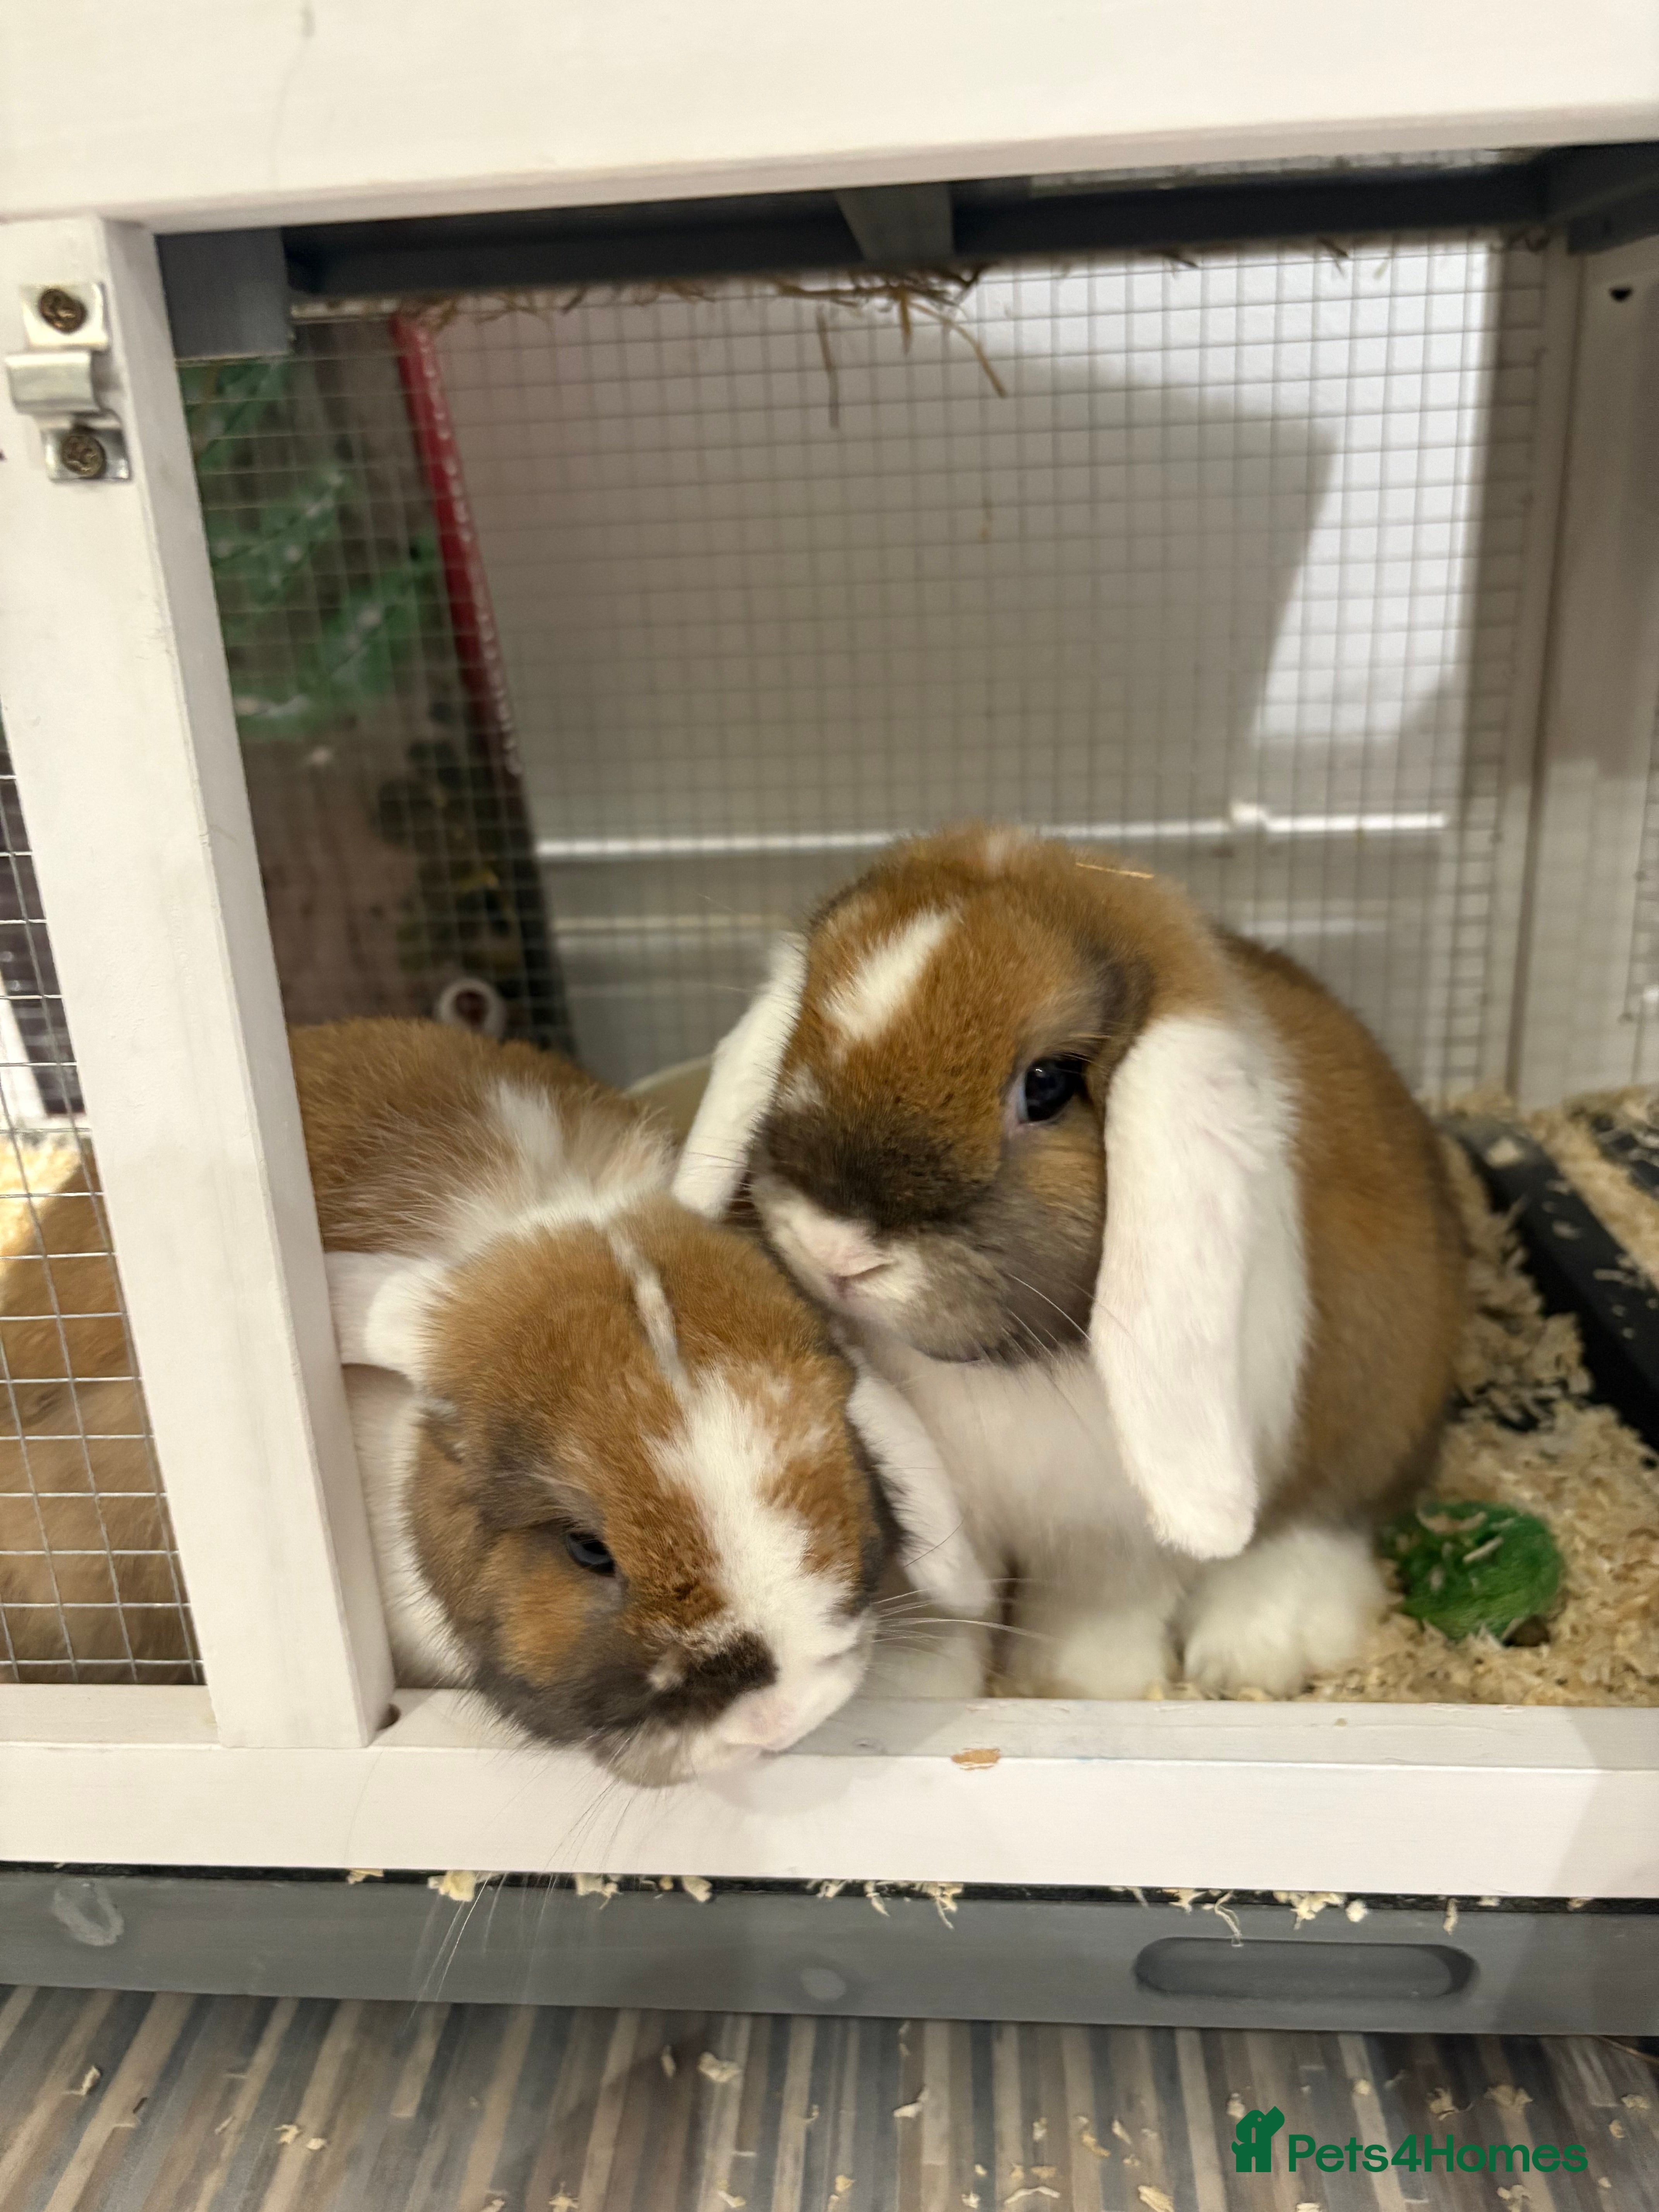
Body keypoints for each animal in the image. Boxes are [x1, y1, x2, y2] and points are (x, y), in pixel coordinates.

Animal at [673, 825, 1466, 1700]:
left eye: (1047, 1084)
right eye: (797, 1028)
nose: (832, 1250)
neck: (999, 1377)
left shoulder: (1114, 1545)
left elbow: (1100, 1608)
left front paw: (1076, 1683)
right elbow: (942, 1613)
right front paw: (917, 1689)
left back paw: (1252, 1650)